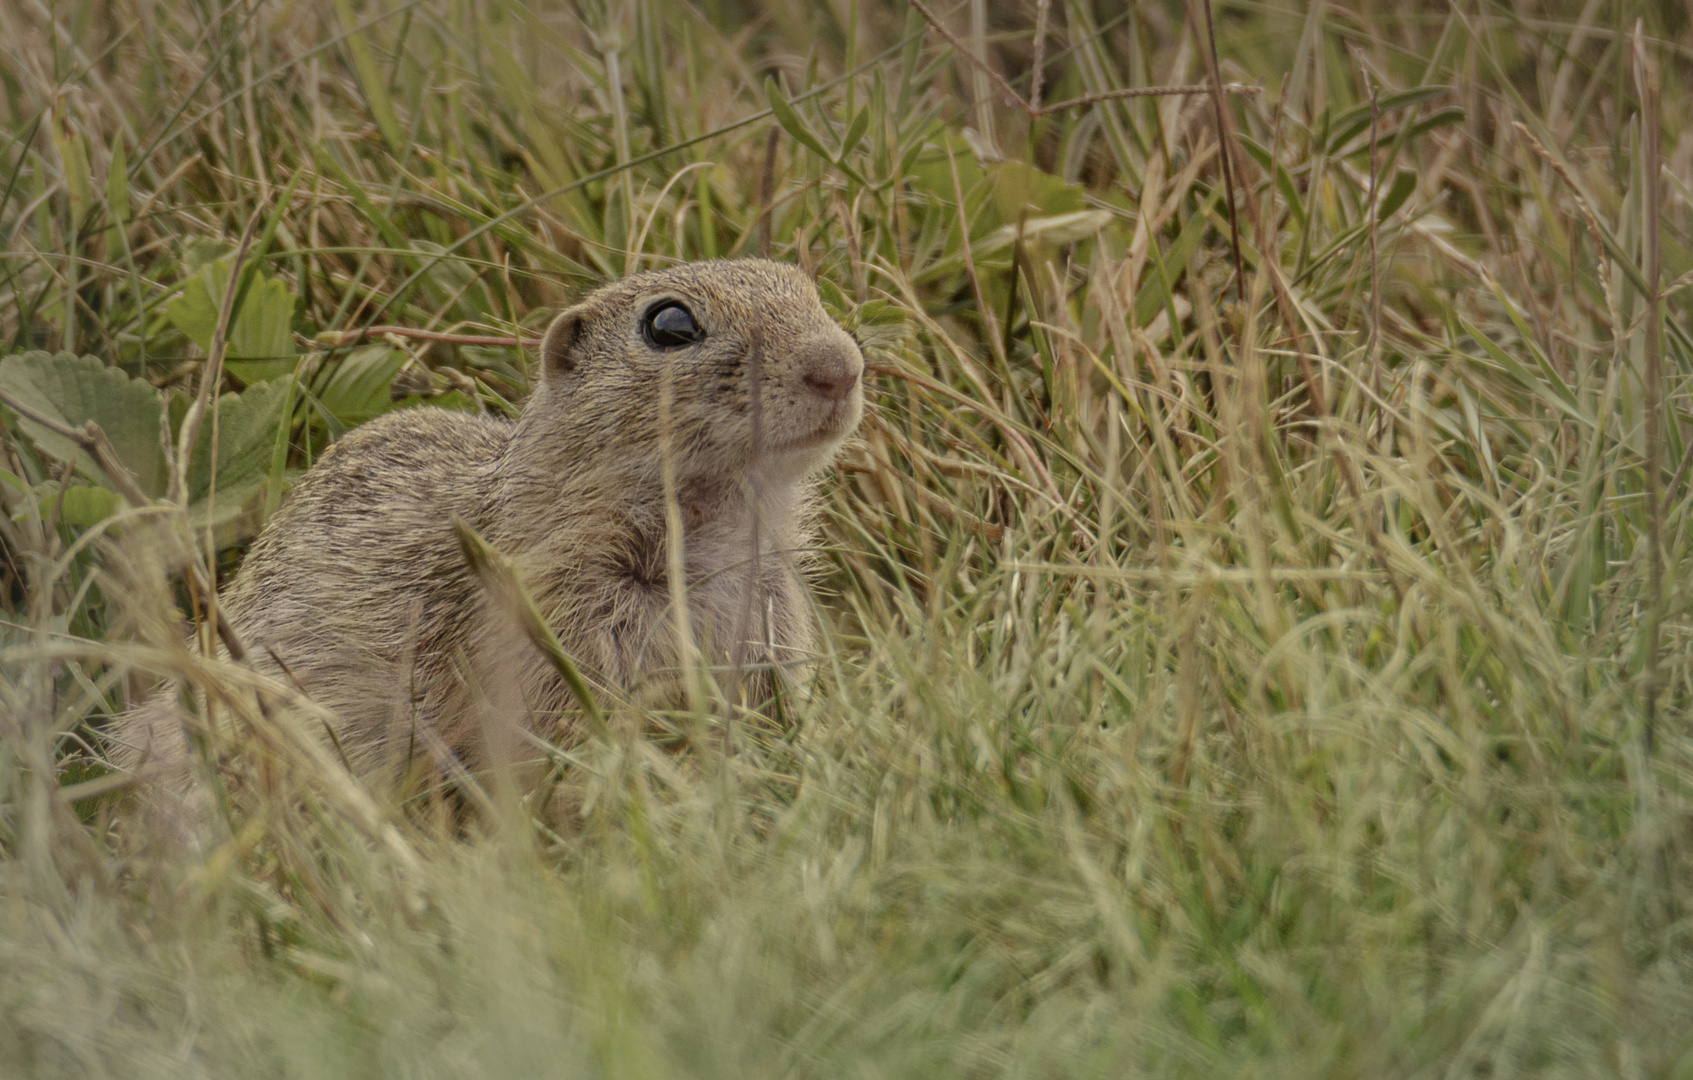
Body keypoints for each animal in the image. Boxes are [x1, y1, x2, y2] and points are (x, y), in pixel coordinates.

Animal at [114, 257, 866, 792]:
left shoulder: (770, 627)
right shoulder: (561, 637)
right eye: (670, 326)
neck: (716, 531)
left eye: (805, 287)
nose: (838, 367)